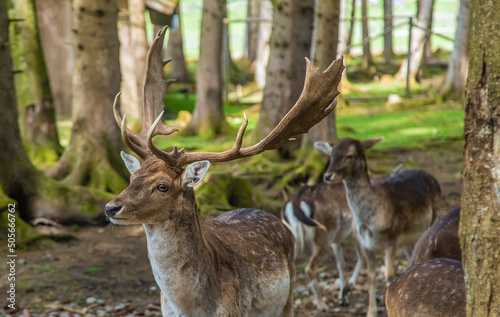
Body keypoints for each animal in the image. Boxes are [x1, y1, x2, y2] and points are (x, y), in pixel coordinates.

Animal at [104, 27, 346, 316]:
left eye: (163, 186)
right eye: (132, 177)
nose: (110, 207)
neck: (190, 306)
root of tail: (277, 219)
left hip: (288, 295)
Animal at [316, 138, 442, 316]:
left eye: (349, 155)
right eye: (331, 154)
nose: (327, 176)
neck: (371, 222)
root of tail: (429, 174)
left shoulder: (392, 240)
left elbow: (389, 275)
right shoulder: (366, 245)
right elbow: (371, 277)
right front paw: (371, 311)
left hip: (434, 216)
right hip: (406, 239)